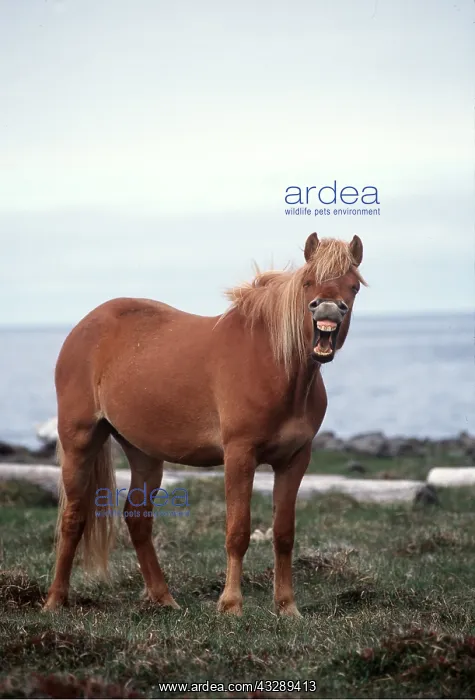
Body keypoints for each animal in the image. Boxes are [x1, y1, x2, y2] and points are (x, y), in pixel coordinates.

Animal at [44, 232, 366, 616]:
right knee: (73, 518)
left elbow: (283, 534)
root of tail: (83, 327)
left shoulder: (295, 460)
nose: (327, 310)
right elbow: (237, 532)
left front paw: (287, 607)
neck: (274, 365)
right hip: (80, 441)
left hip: (143, 452)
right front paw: (231, 605)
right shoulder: (239, 455)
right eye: (307, 283)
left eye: (354, 286)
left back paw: (164, 598)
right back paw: (55, 600)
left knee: (137, 519)